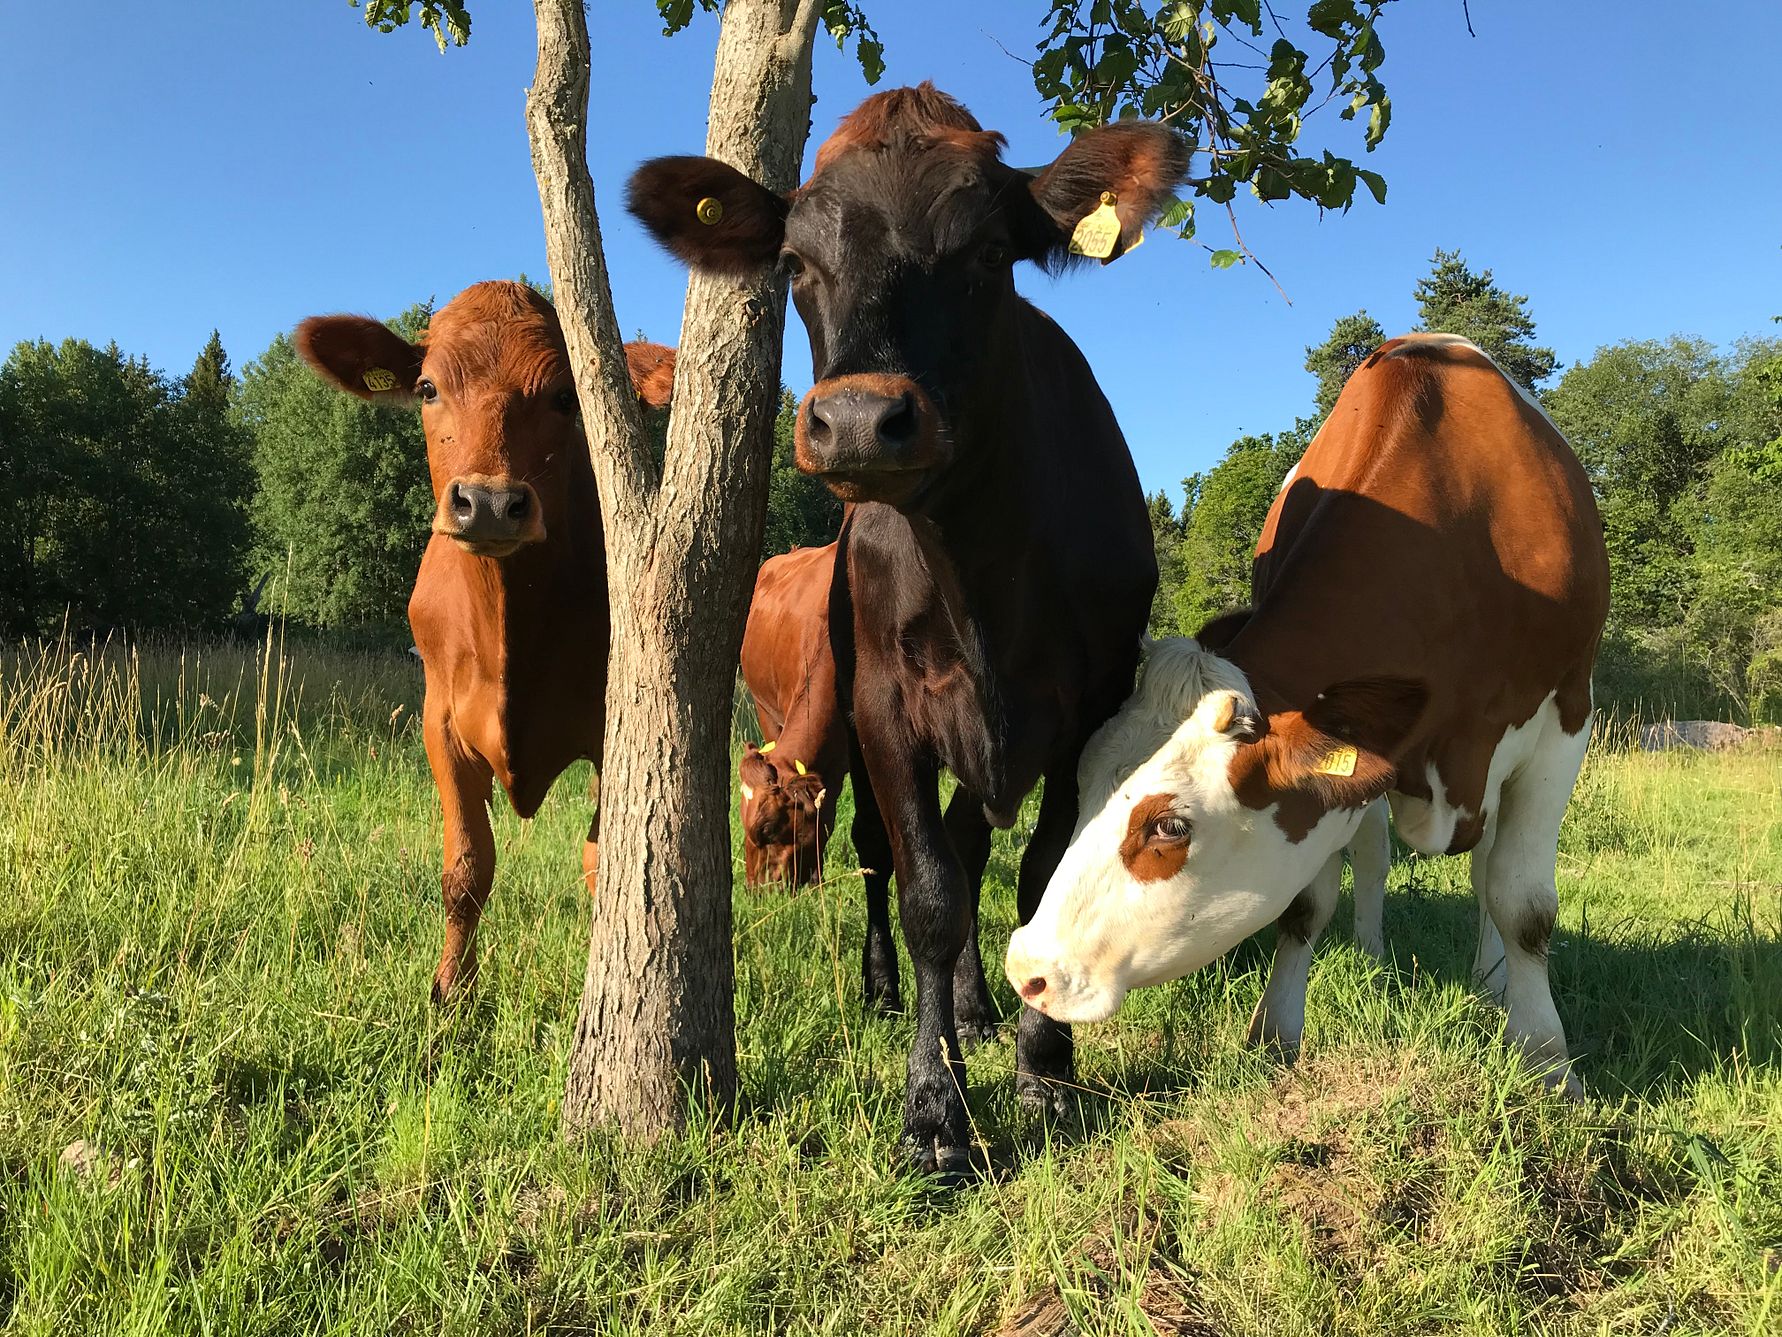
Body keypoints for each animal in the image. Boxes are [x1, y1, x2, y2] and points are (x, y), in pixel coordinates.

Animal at [294, 280, 675, 1001]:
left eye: (566, 397)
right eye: (426, 388)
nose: (491, 503)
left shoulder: (611, 728)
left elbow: (599, 865)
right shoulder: (439, 723)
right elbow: (466, 869)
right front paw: (452, 991)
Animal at [1006, 333, 1610, 1097]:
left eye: (1170, 825)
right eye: (1082, 785)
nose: (1026, 967)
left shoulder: (1563, 723)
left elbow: (1522, 903)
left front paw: (1545, 1060)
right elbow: (1305, 903)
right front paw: (1275, 1033)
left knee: (1485, 873)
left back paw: (1492, 979)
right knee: (1377, 856)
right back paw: (1375, 956)